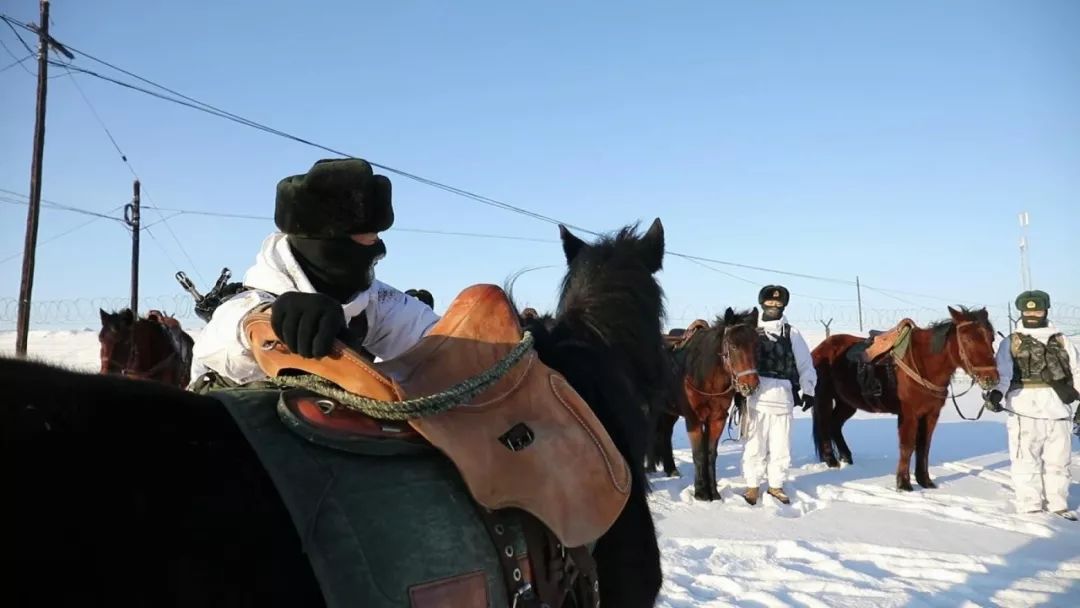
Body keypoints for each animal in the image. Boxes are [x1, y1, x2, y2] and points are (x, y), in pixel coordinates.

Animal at [643, 308, 764, 498]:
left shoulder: (717, 419)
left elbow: (710, 454)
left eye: (756, 345)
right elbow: (699, 453)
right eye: (733, 346)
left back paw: (671, 469)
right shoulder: (693, 419)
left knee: (664, 434)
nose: (750, 385)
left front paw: (713, 492)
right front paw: (700, 492)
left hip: (669, 412)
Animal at [812, 306, 997, 492]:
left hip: (847, 403)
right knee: (824, 425)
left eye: (991, 337)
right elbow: (907, 447)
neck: (923, 363)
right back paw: (832, 461)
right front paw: (904, 483)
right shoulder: (909, 414)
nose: (991, 378)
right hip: (824, 398)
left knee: (835, 424)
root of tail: (819, 349)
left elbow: (924, 446)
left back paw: (846, 458)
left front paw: (925, 481)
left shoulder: (931, 414)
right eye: (968, 339)